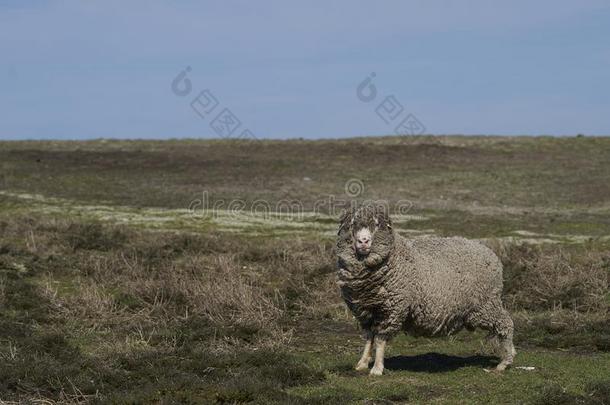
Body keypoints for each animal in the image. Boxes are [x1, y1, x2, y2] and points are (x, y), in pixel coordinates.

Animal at [334, 204, 516, 374]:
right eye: (352, 224)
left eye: (377, 224)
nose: (363, 241)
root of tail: (490, 253)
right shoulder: (364, 311)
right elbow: (368, 338)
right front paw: (362, 363)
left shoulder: (391, 310)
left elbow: (379, 339)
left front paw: (377, 368)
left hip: (485, 305)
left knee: (505, 323)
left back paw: (505, 361)